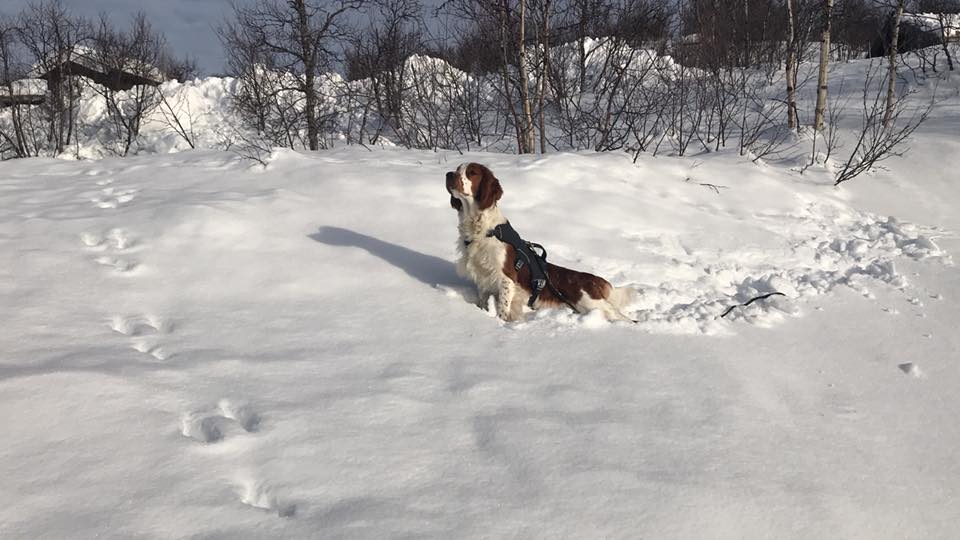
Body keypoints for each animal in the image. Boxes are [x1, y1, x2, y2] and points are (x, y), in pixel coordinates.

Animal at [445, 162, 635, 322]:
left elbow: (503, 308)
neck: (484, 229)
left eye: (472, 172)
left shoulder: (506, 278)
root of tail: (596, 279)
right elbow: (483, 301)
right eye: (458, 168)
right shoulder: (482, 277)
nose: (448, 174)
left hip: (589, 302)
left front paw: (500, 323)